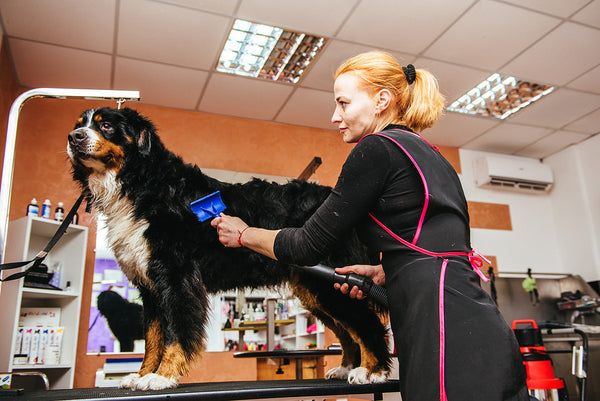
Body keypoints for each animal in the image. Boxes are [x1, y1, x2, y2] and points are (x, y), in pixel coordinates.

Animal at [67, 108, 390, 390]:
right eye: (80, 123)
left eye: (106, 125)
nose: (73, 137)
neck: (143, 183)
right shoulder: (151, 287)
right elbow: (152, 339)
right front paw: (142, 374)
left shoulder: (175, 277)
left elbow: (173, 334)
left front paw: (161, 377)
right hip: (316, 290)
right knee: (348, 332)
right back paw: (347, 367)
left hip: (333, 282)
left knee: (367, 325)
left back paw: (372, 371)